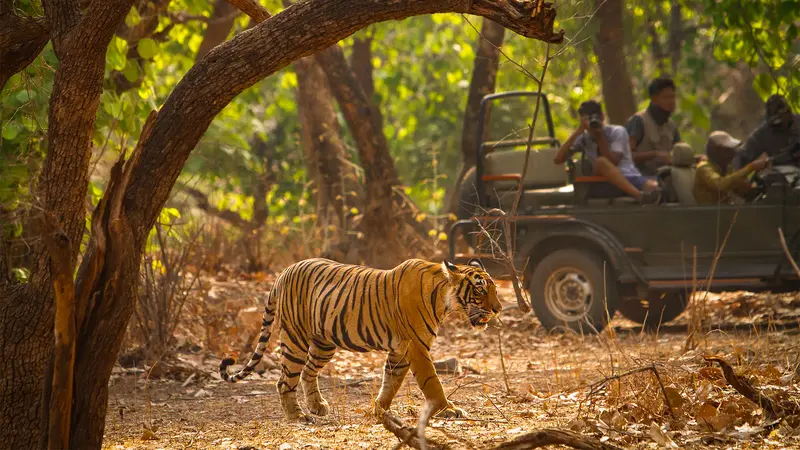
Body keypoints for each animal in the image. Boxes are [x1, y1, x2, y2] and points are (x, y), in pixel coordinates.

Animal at [219, 257, 501, 422]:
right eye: (480, 289)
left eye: (495, 289)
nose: (498, 309)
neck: (444, 299)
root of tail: (283, 272)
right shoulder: (417, 347)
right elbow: (432, 383)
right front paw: (448, 409)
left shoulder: (400, 351)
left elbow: (391, 382)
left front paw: (380, 410)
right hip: (295, 338)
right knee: (284, 380)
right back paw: (297, 416)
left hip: (323, 343)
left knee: (308, 372)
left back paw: (317, 406)